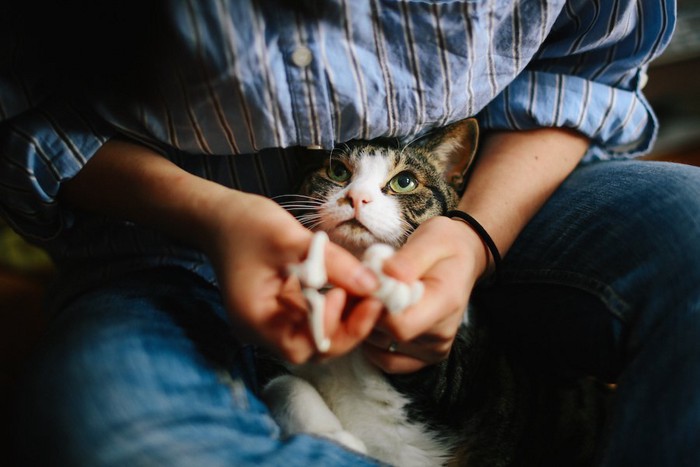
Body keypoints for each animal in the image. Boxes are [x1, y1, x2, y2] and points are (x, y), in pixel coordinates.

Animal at [260, 120, 608, 467]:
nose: (356, 197)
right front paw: (332, 436)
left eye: (404, 182)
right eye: (338, 171)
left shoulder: (455, 375)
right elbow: (282, 384)